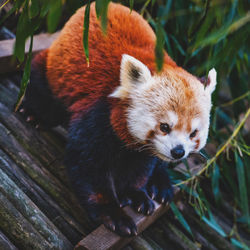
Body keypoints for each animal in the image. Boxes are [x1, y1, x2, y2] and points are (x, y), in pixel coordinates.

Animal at [20, 2, 217, 236]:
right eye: (164, 126)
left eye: (193, 133)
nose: (178, 152)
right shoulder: (98, 114)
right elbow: (89, 166)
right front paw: (114, 213)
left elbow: (140, 168)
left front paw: (135, 194)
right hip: (53, 69)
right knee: (41, 84)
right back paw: (35, 112)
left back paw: (160, 185)